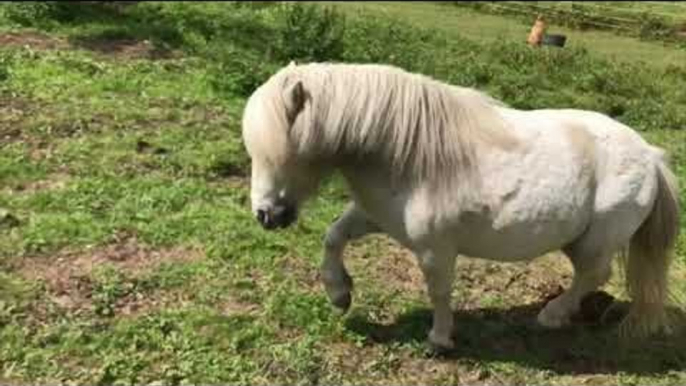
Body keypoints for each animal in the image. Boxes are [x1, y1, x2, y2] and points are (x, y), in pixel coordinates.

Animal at [242, 61, 684, 350]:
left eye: (283, 152)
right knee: (590, 276)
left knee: (593, 274)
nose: (265, 216)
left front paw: (439, 339)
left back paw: (552, 315)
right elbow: (333, 237)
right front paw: (339, 293)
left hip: (597, 240)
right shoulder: (375, 217)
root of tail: (650, 156)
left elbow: (439, 291)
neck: (409, 157)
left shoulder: (436, 249)